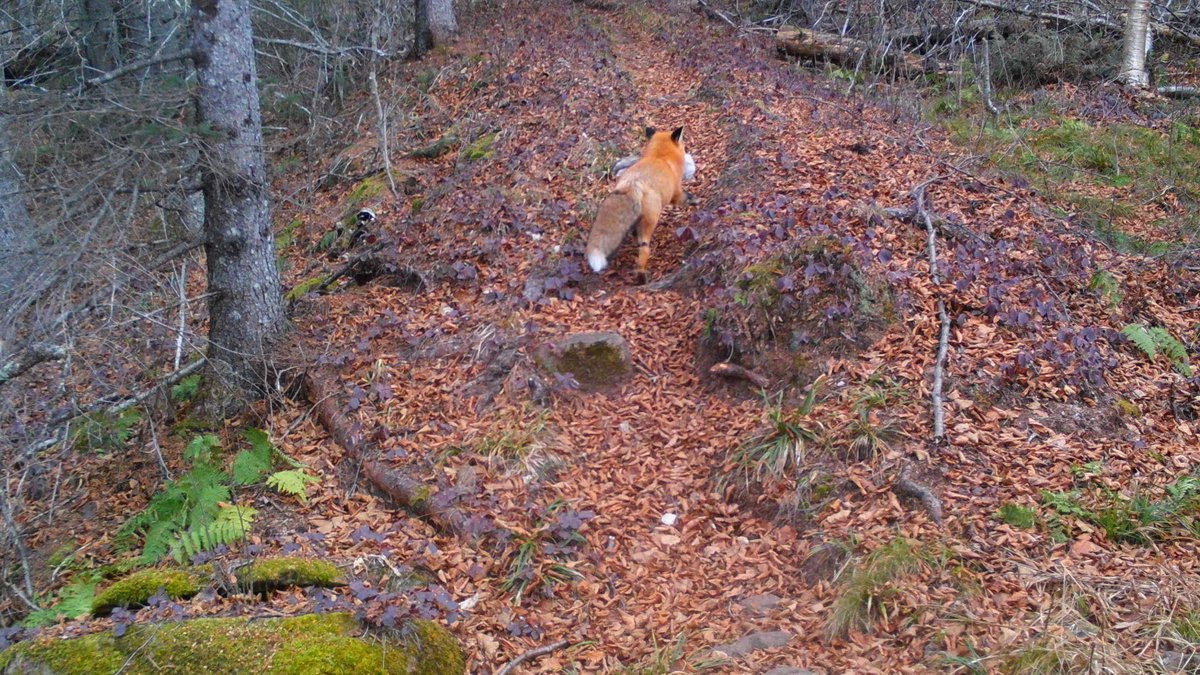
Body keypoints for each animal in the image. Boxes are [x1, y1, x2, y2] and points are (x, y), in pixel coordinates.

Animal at [585, 126, 686, 284]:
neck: (660, 158)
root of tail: (632, 185)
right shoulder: (676, 192)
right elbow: (686, 198)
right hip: (651, 221)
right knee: (644, 249)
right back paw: (641, 277)